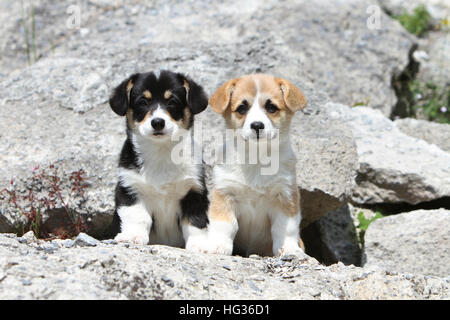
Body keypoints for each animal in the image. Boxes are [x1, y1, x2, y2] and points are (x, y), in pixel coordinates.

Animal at [109, 69, 209, 250]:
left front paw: (199, 245)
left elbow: (195, 222)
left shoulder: (194, 191)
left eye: (172, 101)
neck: (161, 151)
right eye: (142, 102)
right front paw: (133, 236)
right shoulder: (129, 189)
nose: (157, 122)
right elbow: (138, 217)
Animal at [206, 74, 308, 258]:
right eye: (242, 108)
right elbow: (225, 225)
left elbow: (285, 228)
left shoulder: (286, 196)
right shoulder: (225, 194)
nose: (257, 125)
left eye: (271, 107)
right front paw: (218, 246)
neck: (256, 158)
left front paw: (289, 249)